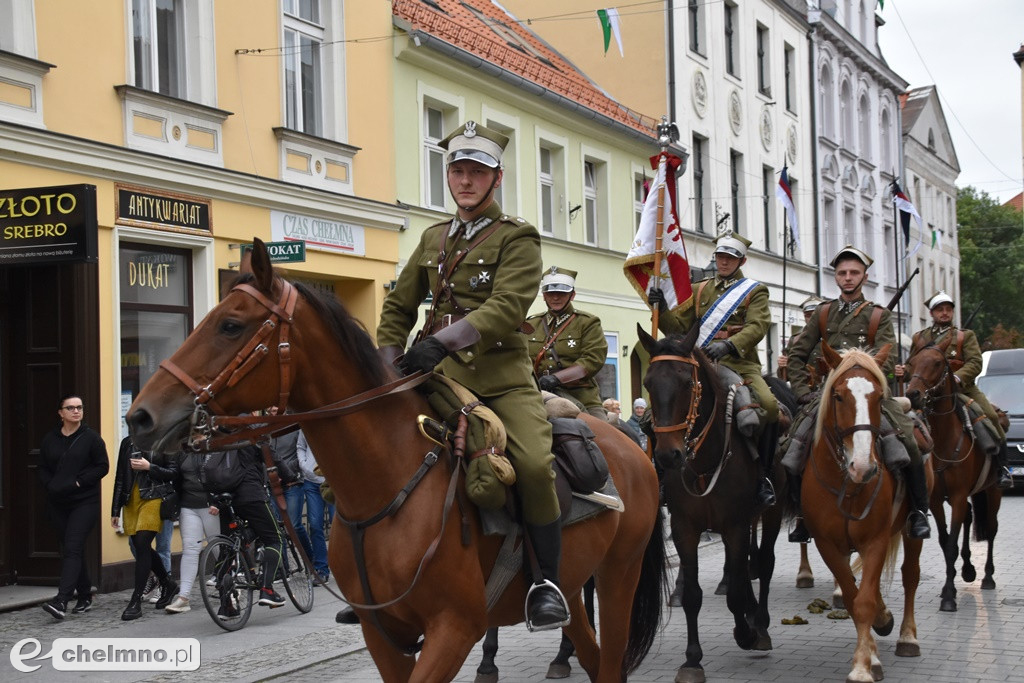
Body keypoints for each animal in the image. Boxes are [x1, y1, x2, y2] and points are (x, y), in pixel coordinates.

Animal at [125, 240, 663, 683]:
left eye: (231, 325)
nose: (140, 416)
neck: (386, 485)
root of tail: (630, 445)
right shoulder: (383, 635)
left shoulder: (455, 628)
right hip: (576, 584)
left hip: (619, 576)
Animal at [630, 323, 782, 679]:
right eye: (649, 383)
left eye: (688, 382)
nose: (668, 456)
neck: (703, 462)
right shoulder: (685, 528)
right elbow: (692, 596)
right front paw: (692, 659)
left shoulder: (735, 525)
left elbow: (738, 588)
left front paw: (746, 633)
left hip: (771, 514)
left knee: (764, 562)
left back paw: (760, 624)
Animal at [802, 344, 933, 679]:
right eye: (837, 396)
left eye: (877, 397)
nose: (863, 467)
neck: (848, 486)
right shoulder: (827, 545)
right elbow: (853, 596)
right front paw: (870, 656)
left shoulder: (875, 540)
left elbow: (864, 601)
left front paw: (862, 666)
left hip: (910, 532)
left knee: (910, 576)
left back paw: (907, 637)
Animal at [905, 339, 999, 610]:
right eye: (912, 362)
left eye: (937, 363)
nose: (912, 394)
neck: (946, 438)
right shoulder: (937, 500)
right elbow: (945, 540)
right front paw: (951, 587)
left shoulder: (957, 497)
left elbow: (950, 545)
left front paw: (948, 595)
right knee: (969, 517)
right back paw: (967, 570)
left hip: (993, 491)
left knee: (991, 528)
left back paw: (987, 576)